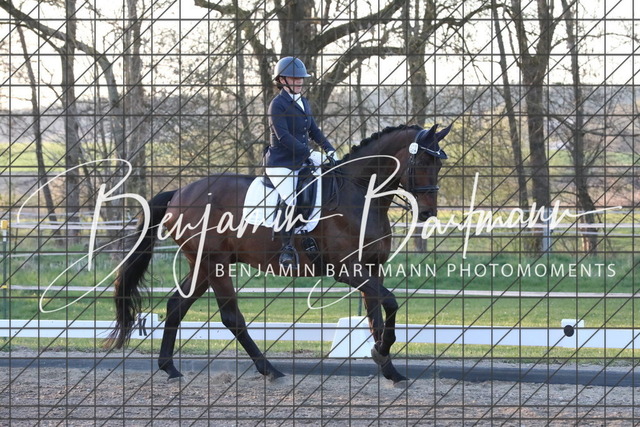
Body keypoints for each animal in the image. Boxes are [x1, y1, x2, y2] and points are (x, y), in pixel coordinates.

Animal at [105, 123, 451, 384]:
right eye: (423, 162)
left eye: (440, 164)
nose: (428, 213)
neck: (361, 195)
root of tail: (178, 193)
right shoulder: (346, 269)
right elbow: (390, 302)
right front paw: (382, 353)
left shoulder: (372, 268)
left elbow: (377, 315)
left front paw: (389, 368)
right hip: (215, 264)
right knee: (231, 318)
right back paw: (269, 369)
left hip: (204, 265)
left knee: (177, 305)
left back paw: (170, 368)